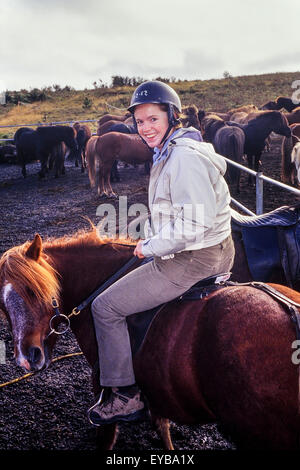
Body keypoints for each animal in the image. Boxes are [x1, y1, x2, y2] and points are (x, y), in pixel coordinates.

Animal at [1, 229, 300, 452]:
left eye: (34, 290)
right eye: (3, 307)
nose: (27, 358)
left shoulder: (103, 390)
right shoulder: (157, 390)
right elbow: (163, 429)